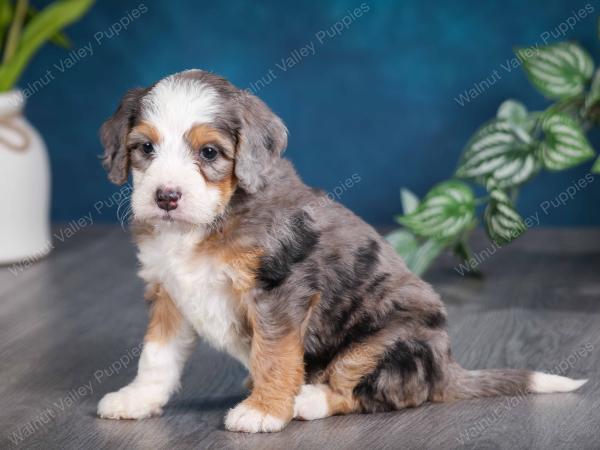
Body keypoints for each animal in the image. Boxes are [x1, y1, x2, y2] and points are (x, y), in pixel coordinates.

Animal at [96, 69, 588, 432]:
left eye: (210, 152)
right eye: (145, 147)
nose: (166, 197)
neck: (206, 223)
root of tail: (447, 366)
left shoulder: (280, 290)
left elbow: (275, 353)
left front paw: (263, 410)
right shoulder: (169, 291)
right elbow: (156, 355)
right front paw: (137, 399)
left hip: (392, 338)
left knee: (374, 391)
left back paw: (306, 400)